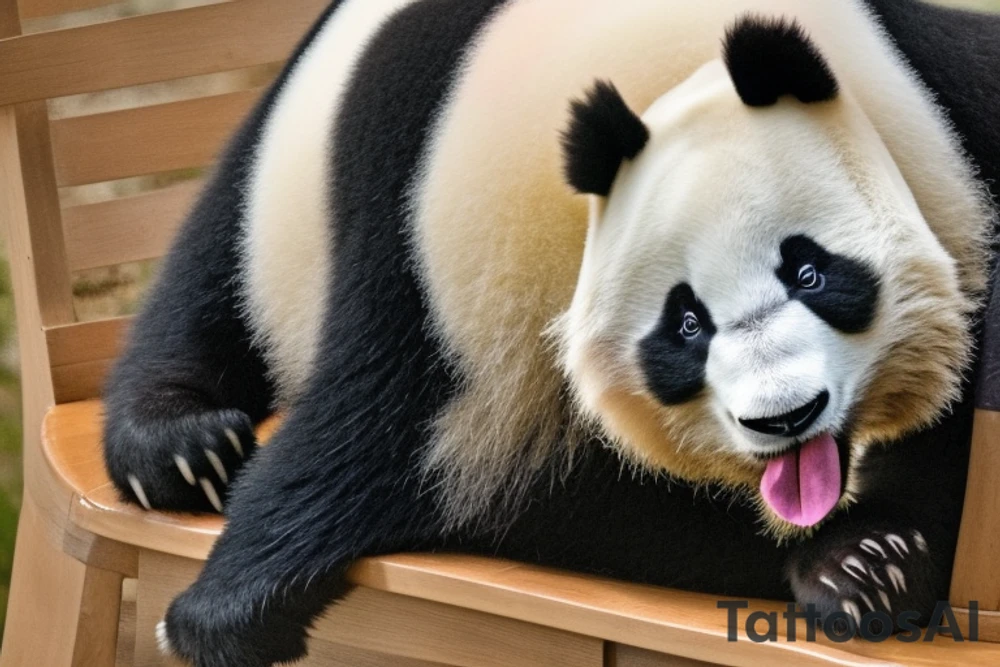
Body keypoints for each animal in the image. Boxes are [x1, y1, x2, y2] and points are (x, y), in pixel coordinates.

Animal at [101, 0, 1000, 665]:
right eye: (686, 324)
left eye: (811, 273)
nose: (786, 417)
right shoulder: (452, 243)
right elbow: (383, 420)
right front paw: (223, 610)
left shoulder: (949, 117)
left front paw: (866, 562)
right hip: (277, 187)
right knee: (208, 276)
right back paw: (181, 445)